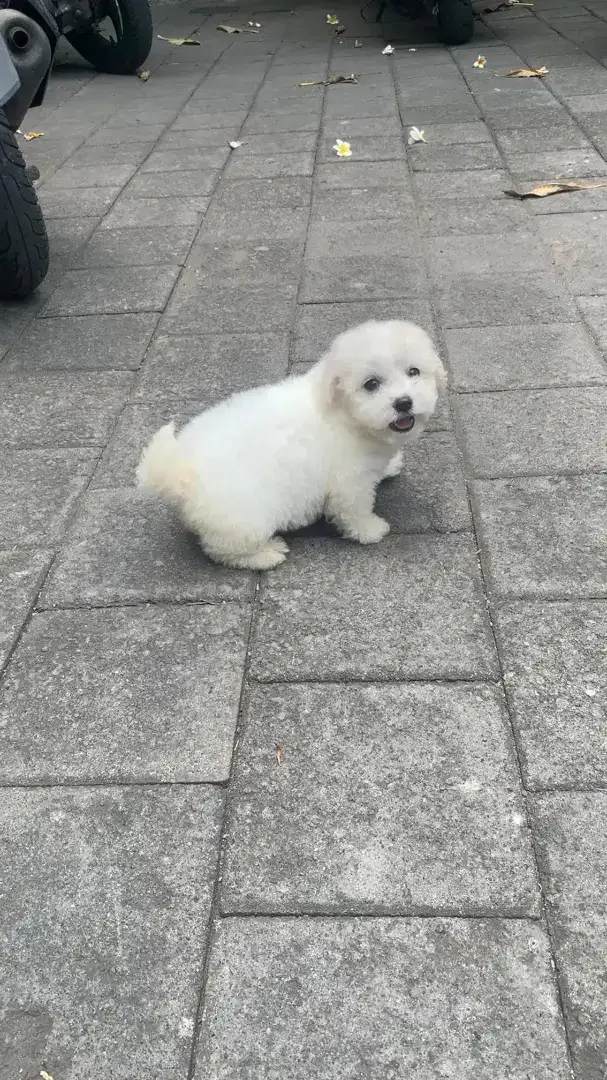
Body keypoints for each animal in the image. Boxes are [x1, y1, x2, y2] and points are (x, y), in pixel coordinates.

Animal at [138, 317, 449, 570]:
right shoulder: (350, 482)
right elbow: (354, 509)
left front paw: (389, 466)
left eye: (414, 372)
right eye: (371, 384)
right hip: (244, 518)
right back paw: (266, 554)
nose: (403, 402)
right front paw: (370, 530)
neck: (344, 415)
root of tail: (181, 471)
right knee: (223, 551)